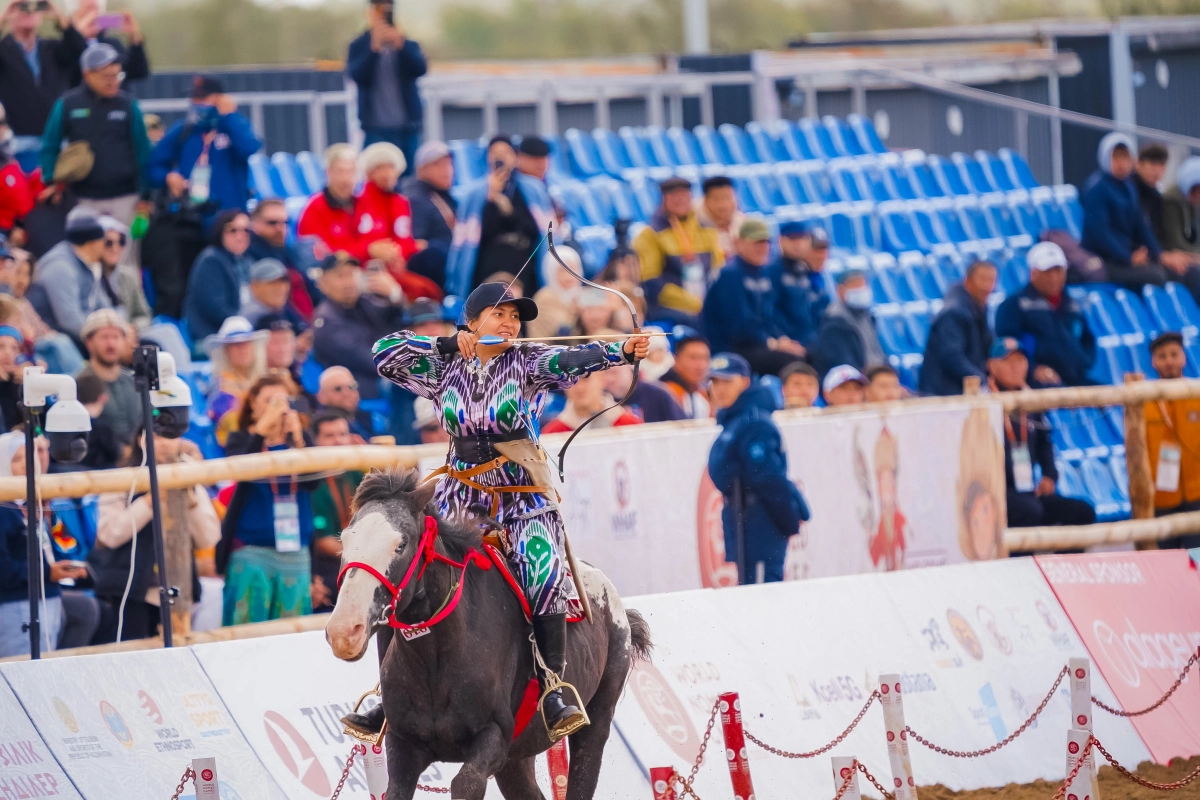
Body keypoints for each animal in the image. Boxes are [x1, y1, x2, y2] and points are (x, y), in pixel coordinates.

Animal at [324, 470, 652, 800]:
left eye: (400, 544)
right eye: (345, 540)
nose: (344, 631)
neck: (437, 659)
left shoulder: (493, 738)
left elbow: (465, 783)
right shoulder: (403, 745)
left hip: (597, 719)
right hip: (516, 759)